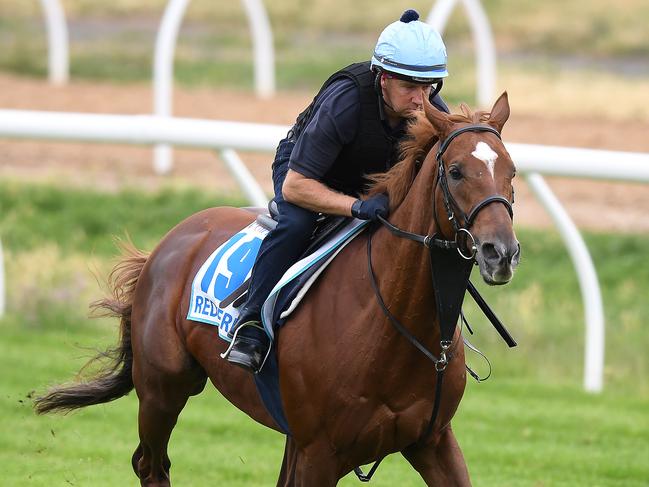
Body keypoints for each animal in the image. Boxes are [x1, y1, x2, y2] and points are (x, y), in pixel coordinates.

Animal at [36, 93, 520, 486]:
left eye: (512, 171)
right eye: (455, 171)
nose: (501, 252)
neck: (392, 324)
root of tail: (169, 241)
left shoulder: (431, 439)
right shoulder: (320, 451)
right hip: (162, 387)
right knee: (150, 464)